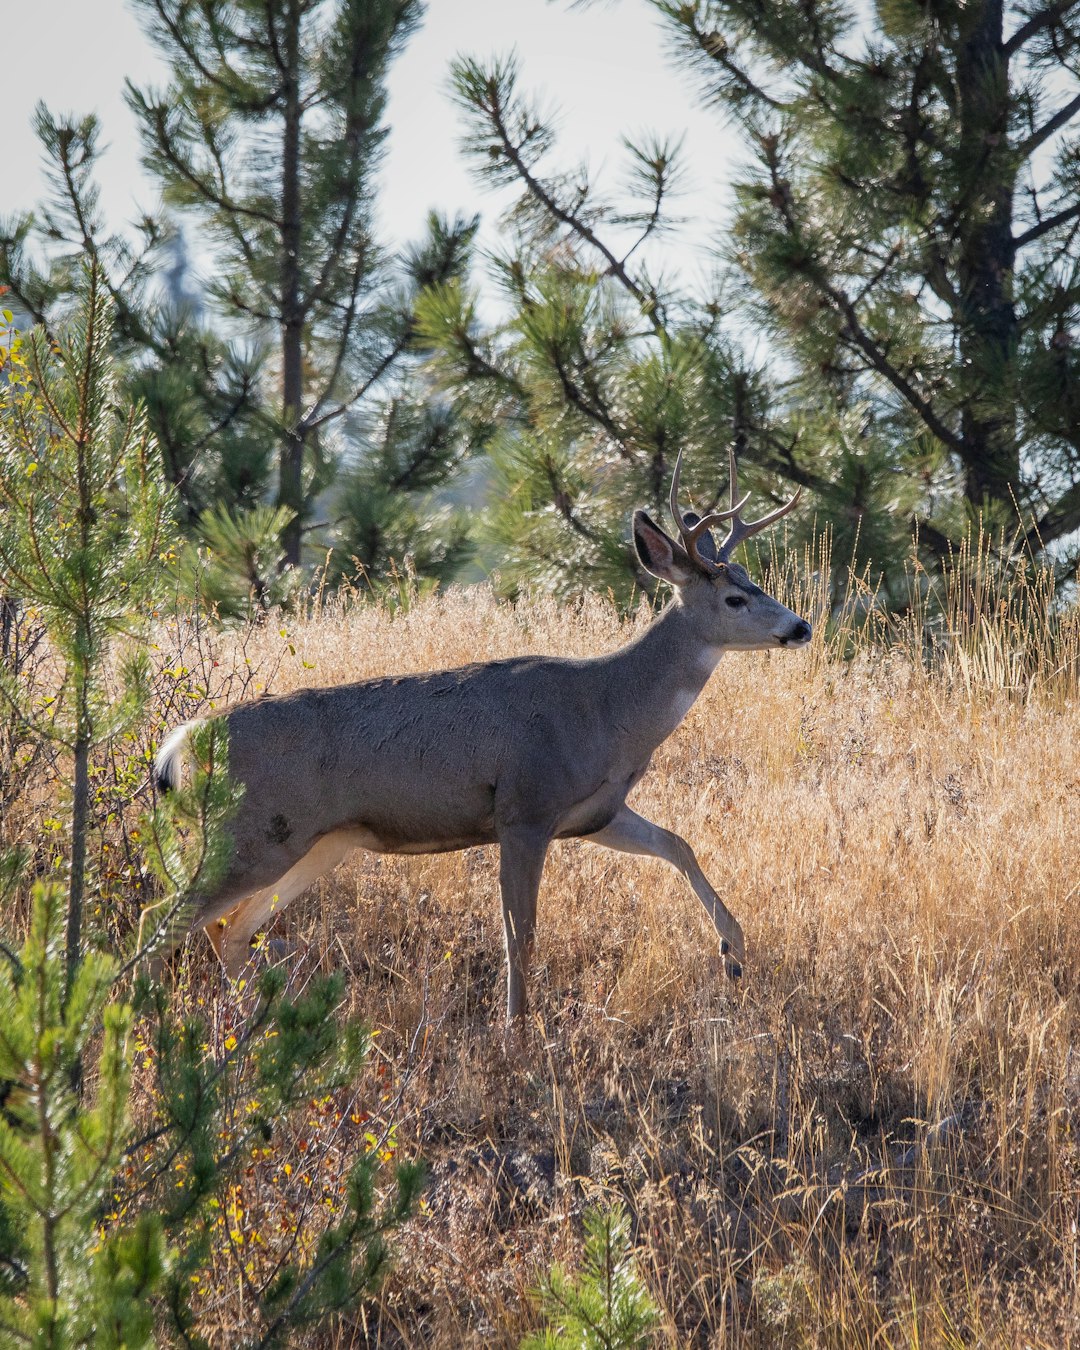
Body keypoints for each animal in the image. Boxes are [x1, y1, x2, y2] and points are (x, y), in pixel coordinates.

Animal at [153, 453, 810, 1020]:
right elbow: (520, 935)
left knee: (229, 930)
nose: (799, 627)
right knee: (164, 921)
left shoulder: (592, 812)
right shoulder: (524, 807)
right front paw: (517, 1029)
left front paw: (734, 952)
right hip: (250, 835)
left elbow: (679, 844)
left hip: (315, 842)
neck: (606, 709)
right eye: (735, 597)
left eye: (754, 582)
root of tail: (180, 745)